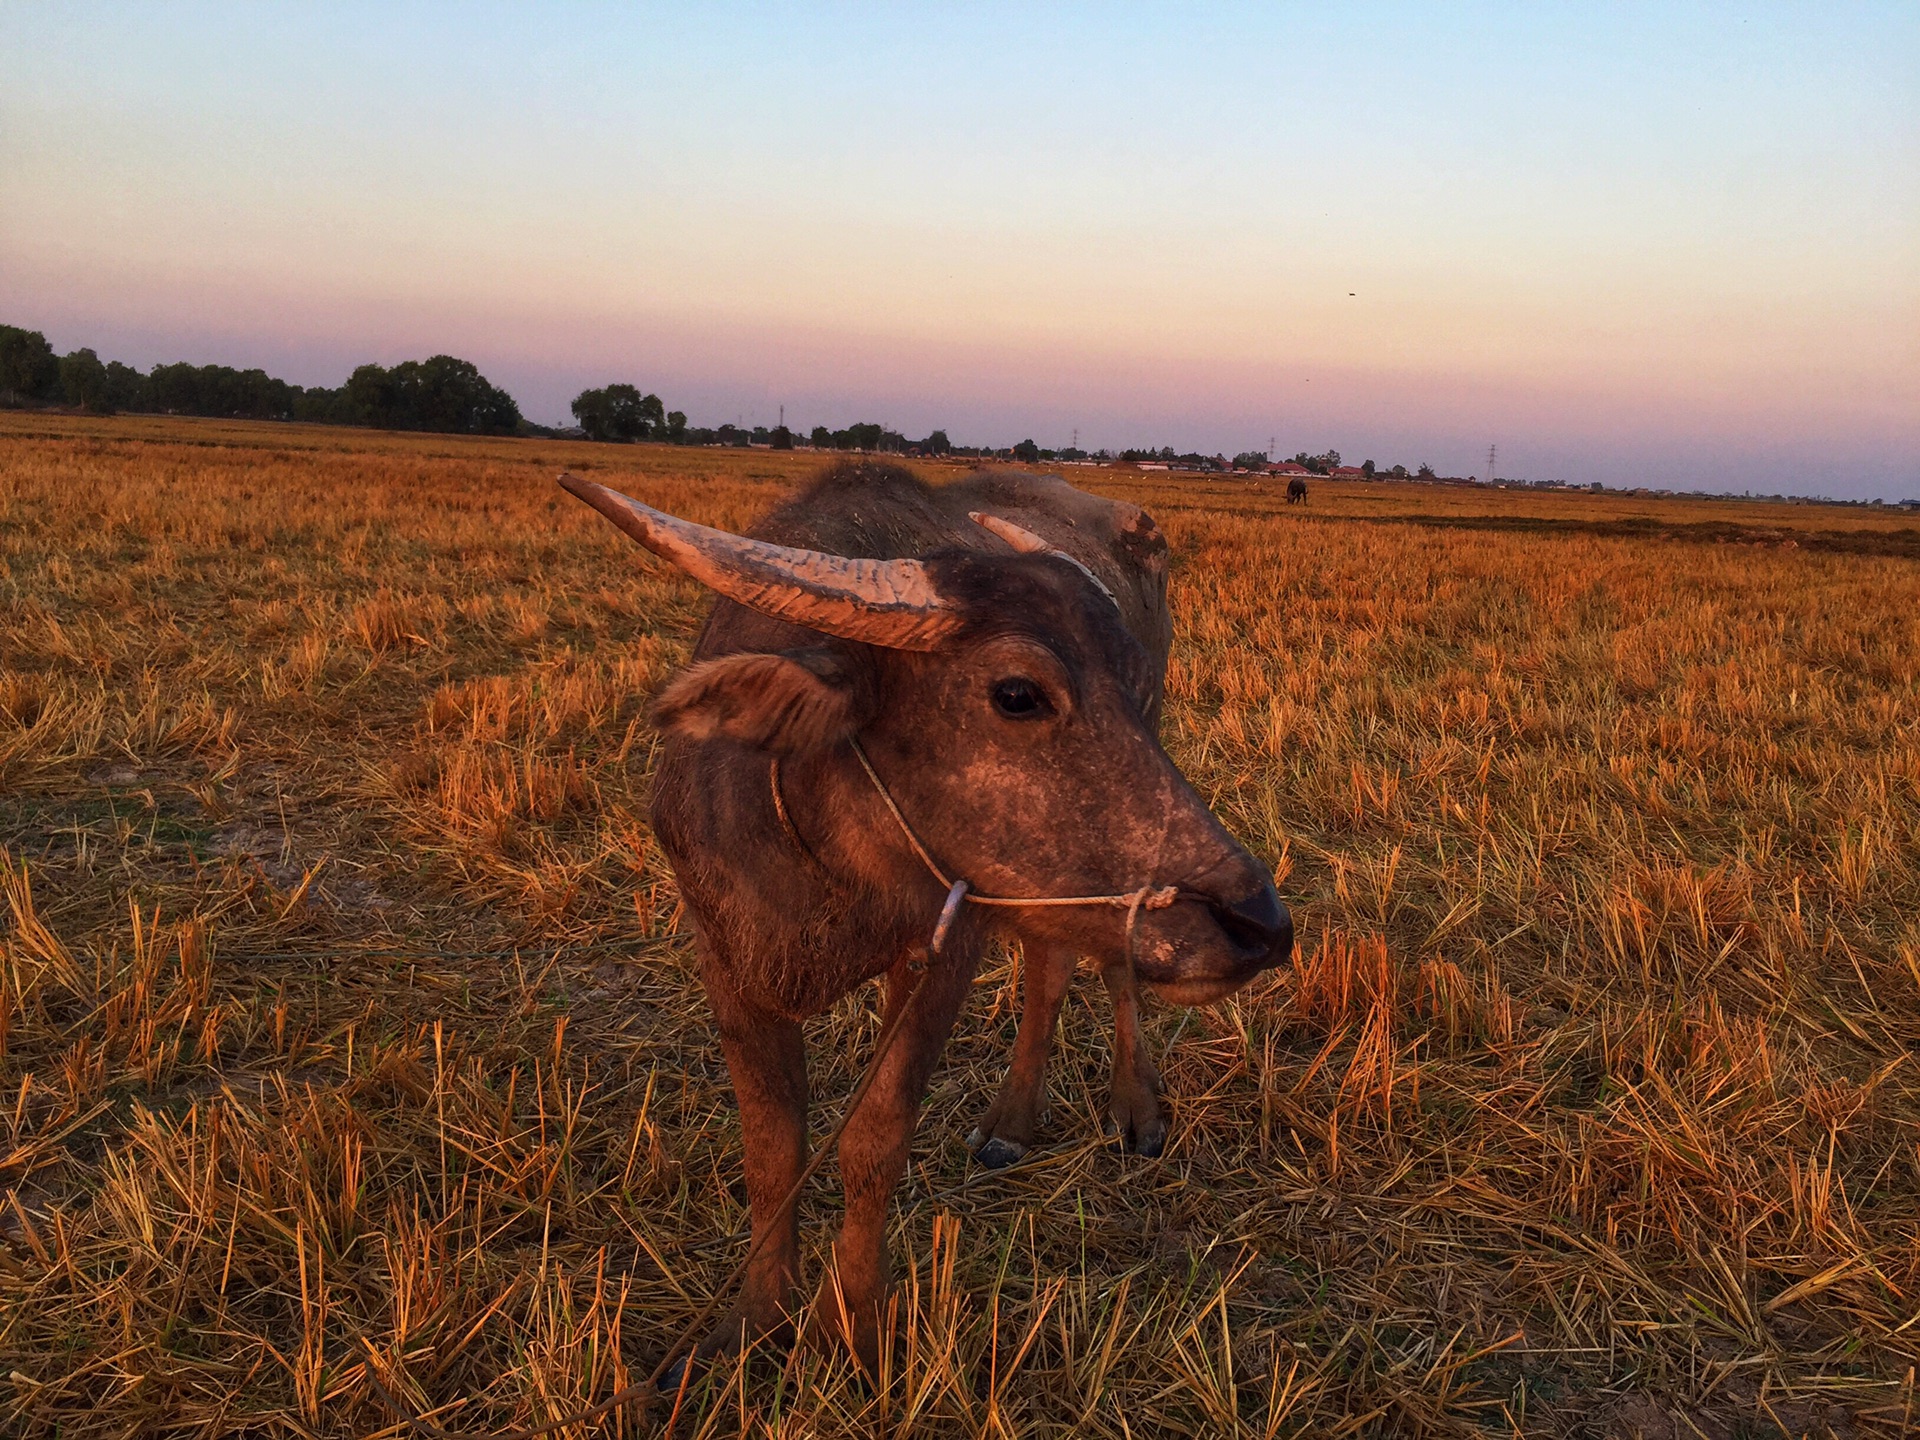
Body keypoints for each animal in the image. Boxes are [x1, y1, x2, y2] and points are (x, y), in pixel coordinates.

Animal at [560, 458, 1297, 1374]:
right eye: (1016, 693)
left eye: (1130, 685)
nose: (1261, 925)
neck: (826, 855)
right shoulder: (726, 956)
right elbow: (772, 1145)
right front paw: (756, 1322)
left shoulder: (947, 948)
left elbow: (875, 1138)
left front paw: (855, 1329)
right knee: (1055, 961)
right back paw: (1015, 1122)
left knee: (1093, 968)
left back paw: (1129, 1107)